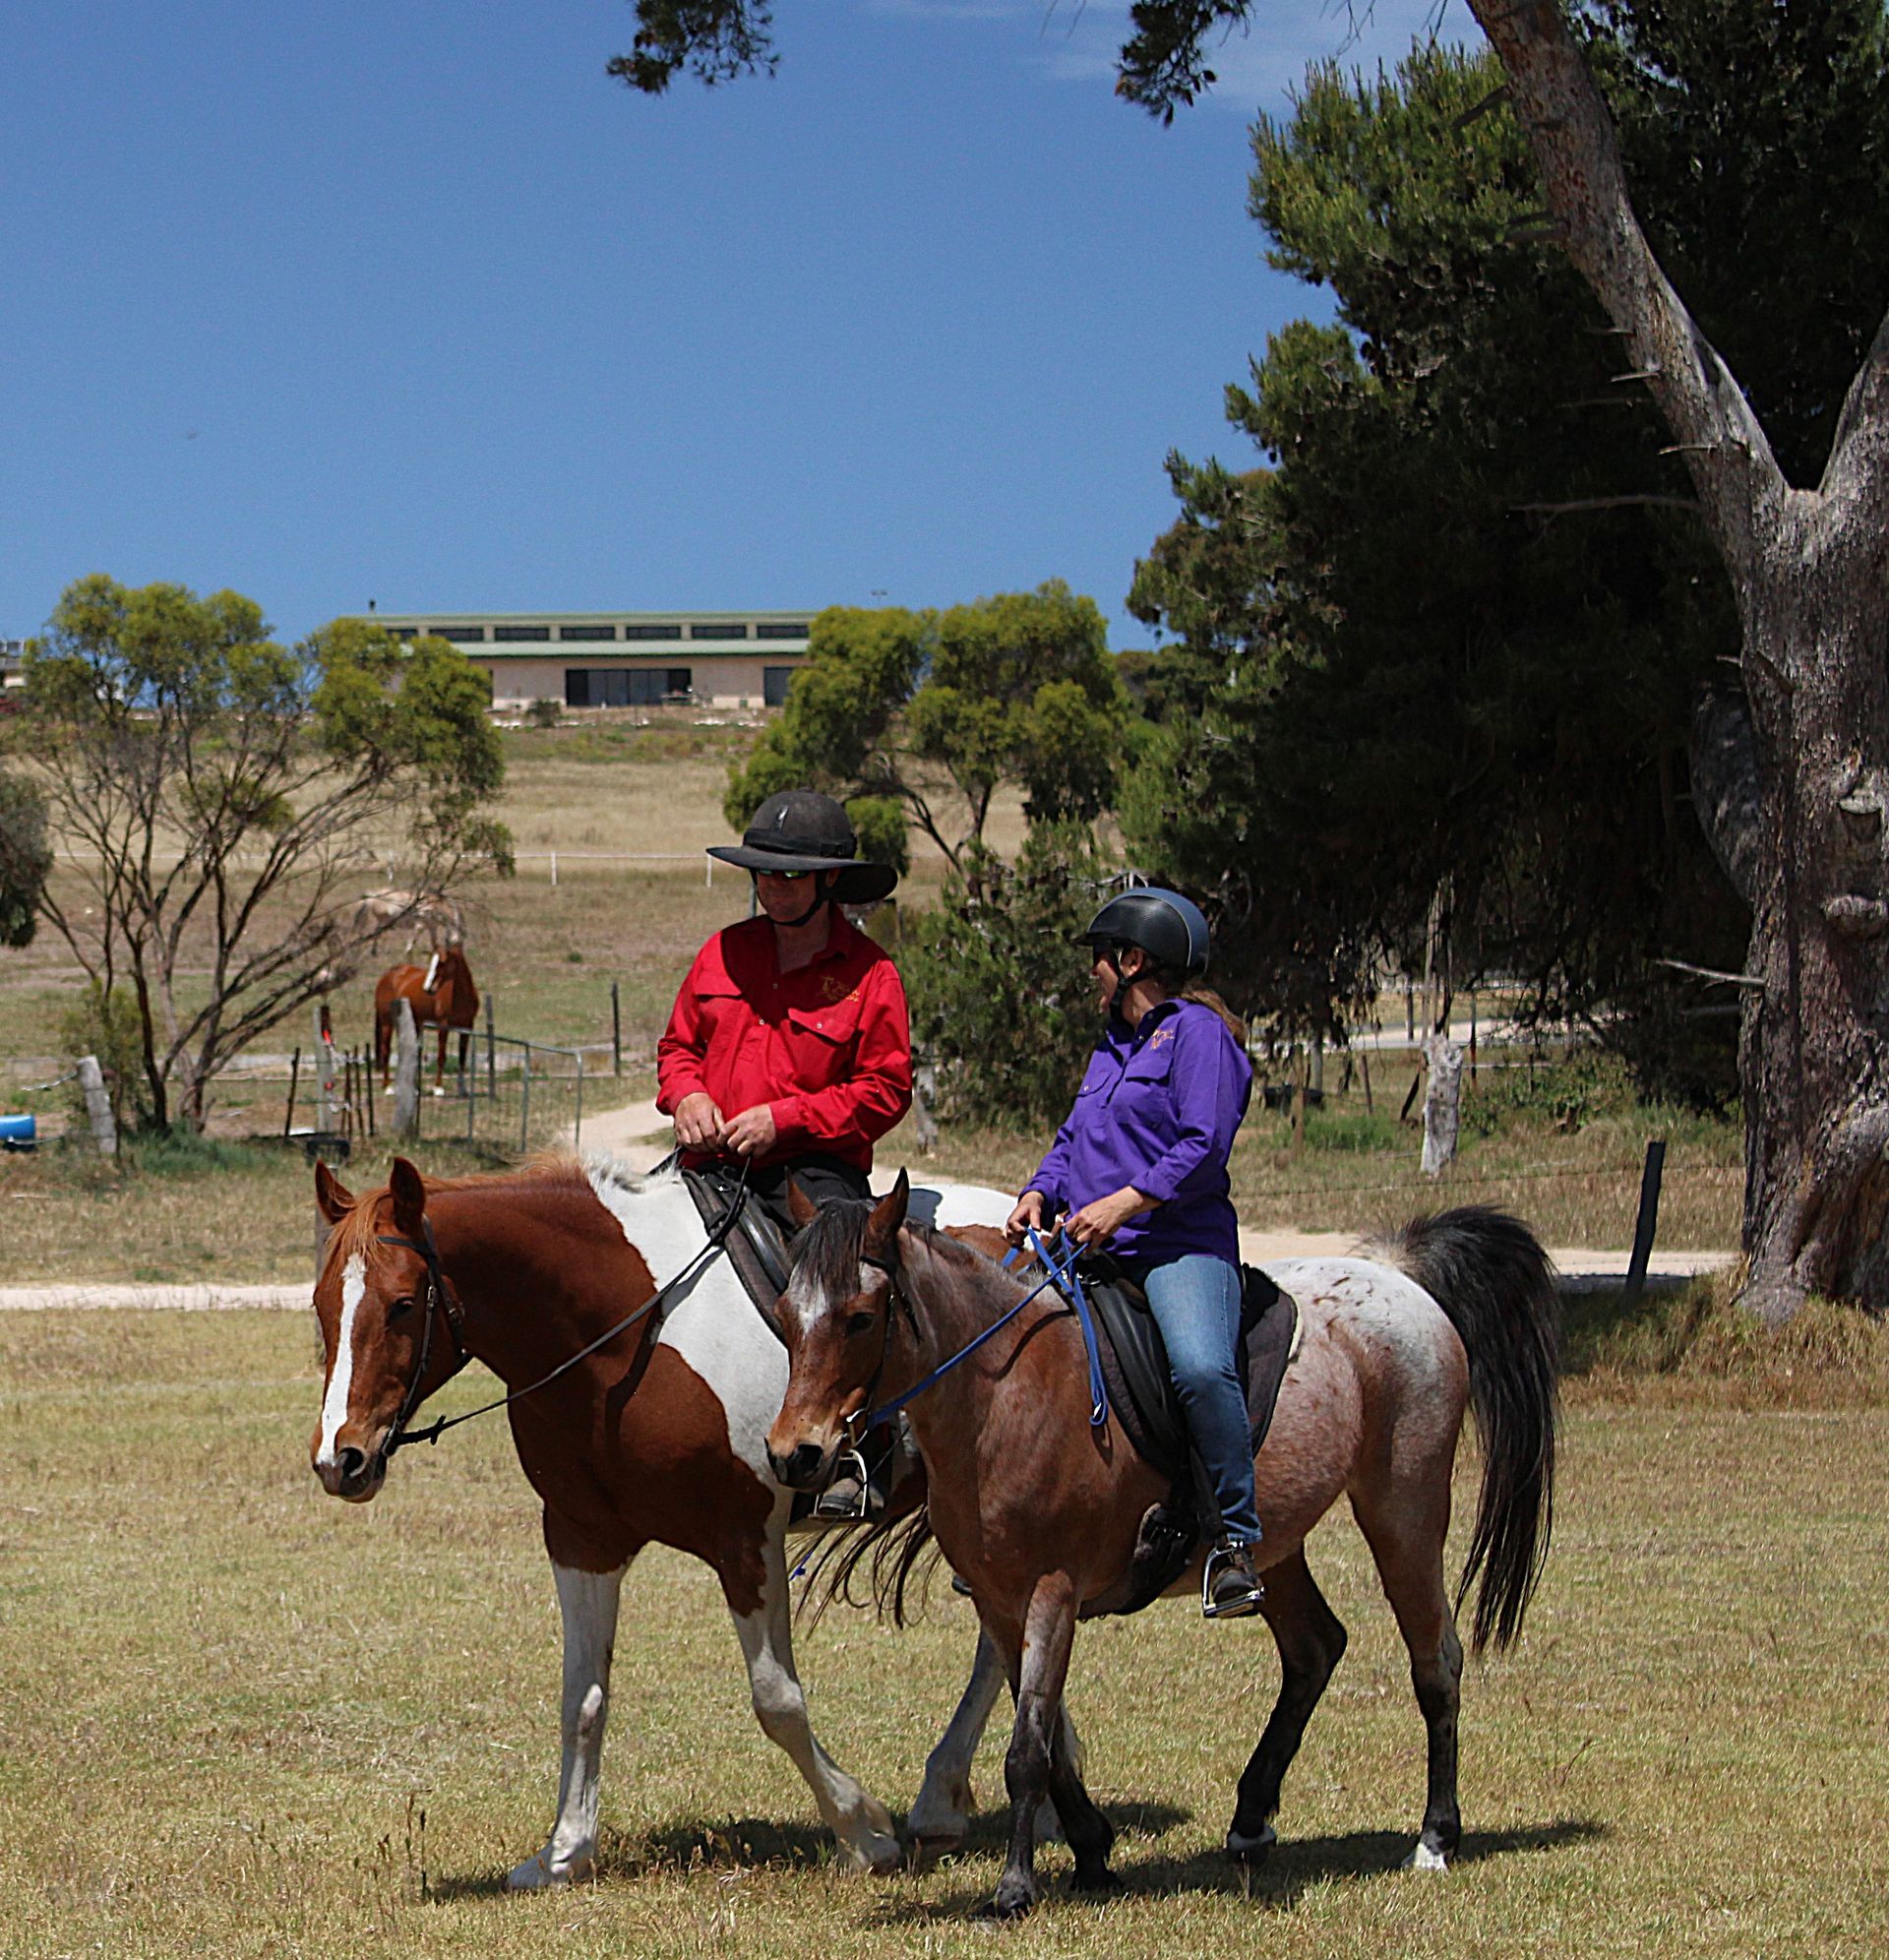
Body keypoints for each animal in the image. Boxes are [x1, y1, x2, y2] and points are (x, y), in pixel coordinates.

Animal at [305, 1152, 1020, 1887]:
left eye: (402, 1305)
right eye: (321, 1304)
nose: (342, 1459)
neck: (623, 1335)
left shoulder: (745, 1542)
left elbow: (777, 1702)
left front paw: (862, 1834)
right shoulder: (581, 1538)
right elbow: (582, 1696)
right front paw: (564, 1851)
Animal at [374, 940, 478, 1090]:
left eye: (442, 963)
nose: (428, 988)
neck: (460, 996)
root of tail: (386, 976)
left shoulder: (467, 1027)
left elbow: (462, 1058)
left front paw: (462, 1089)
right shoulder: (443, 1026)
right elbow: (441, 1056)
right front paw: (438, 1087)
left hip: (413, 1024)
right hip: (387, 1023)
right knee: (385, 1051)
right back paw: (387, 1086)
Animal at [765, 1177, 1561, 1918]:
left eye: (860, 1318)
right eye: (783, 1316)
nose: (795, 1455)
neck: (1006, 1393)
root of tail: (1397, 1278)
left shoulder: (1052, 1589)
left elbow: (1027, 1749)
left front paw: (1016, 1888)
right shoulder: (998, 1599)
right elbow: (1045, 1735)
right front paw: (1092, 1854)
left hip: (1404, 1507)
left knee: (1435, 1663)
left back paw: (1434, 1838)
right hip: (1275, 1541)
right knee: (1314, 1648)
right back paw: (1250, 1822)